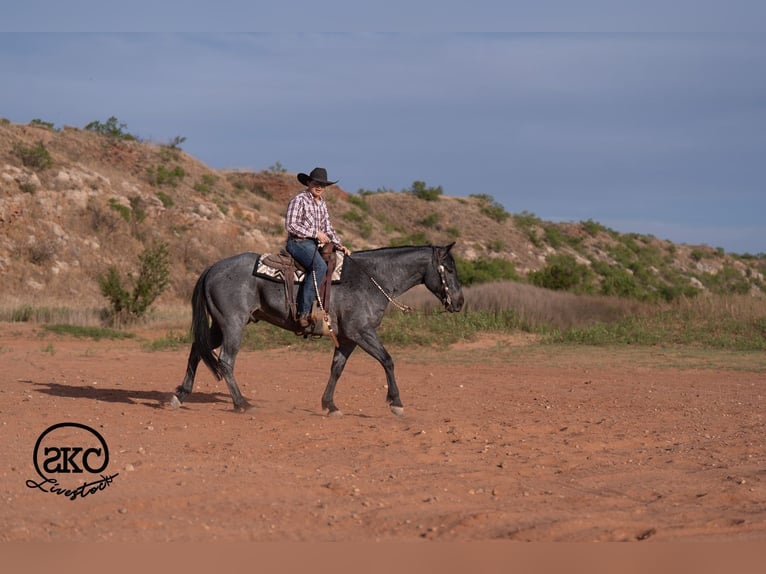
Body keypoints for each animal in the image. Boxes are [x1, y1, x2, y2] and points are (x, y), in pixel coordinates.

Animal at [171, 243, 464, 416]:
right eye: (449, 268)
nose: (459, 302)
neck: (371, 279)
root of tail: (212, 268)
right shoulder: (362, 332)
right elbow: (388, 360)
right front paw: (396, 403)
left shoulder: (347, 338)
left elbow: (337, 369)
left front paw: (329, 405)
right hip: (232, 324)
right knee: (226, 361)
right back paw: (241, 403)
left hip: (220, 325)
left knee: (197, 349)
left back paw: (180, 395)